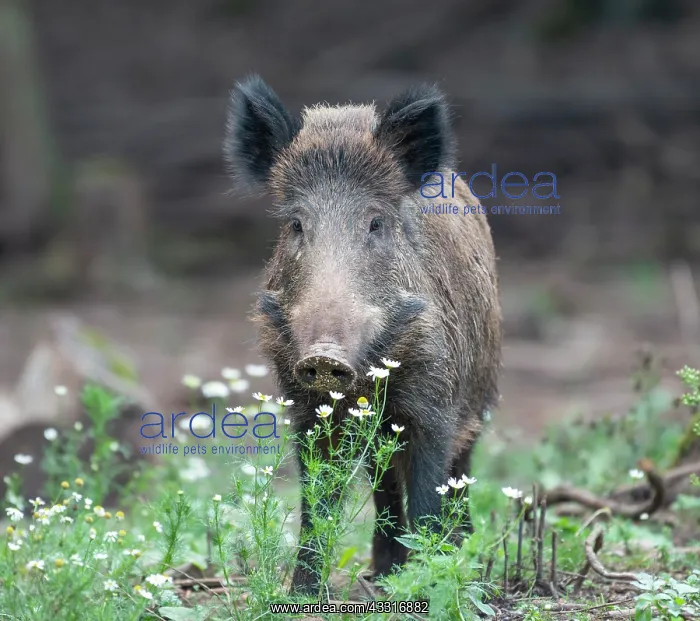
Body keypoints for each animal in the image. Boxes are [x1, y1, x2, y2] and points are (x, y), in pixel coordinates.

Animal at [223, 75, 502, 595]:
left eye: (375, 222)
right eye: (296, 223)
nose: (324, 356)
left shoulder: (435, 401)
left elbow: (430, 494)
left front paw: (432, 581)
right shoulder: (304, 407)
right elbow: (317, 504)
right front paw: (302, 594)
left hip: (481, 393)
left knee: (459, 473)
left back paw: (463, 555)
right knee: (383, 484)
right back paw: (385, 571)